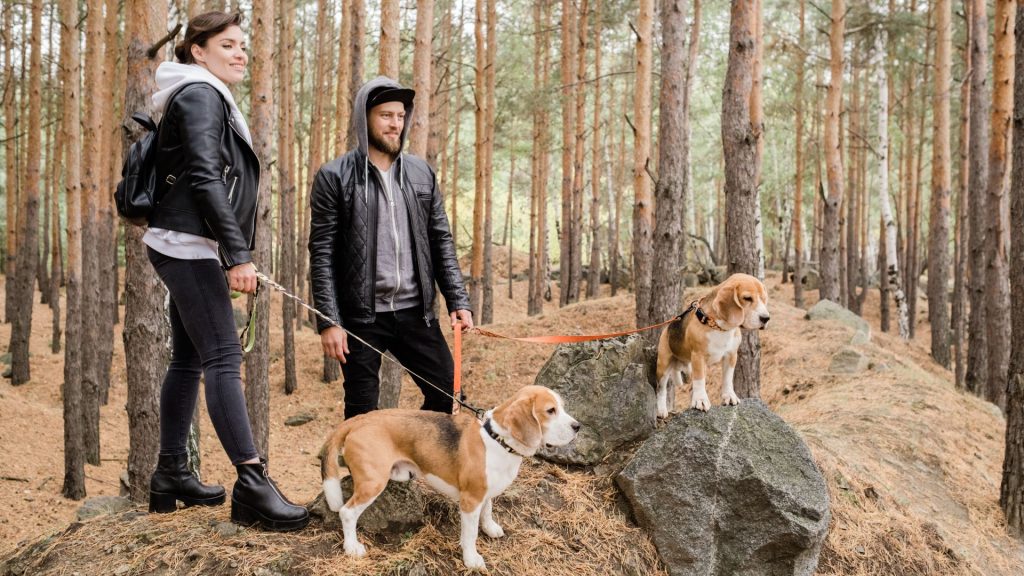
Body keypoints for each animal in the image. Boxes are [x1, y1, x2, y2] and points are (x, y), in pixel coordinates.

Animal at [319, 383, 577, 565]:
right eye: (550, 411)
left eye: (562, 407)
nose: (578, 427)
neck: (498, 439)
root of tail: (360, 419)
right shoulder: (470, 500)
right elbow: (470, 534)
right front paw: (471, 559)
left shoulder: (485, 493)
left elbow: (488, 511)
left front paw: (490, 528)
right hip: (373, 482)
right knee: (347, 513)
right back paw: (352, 547)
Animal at [655, 270, 770, 414]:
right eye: (747, 298)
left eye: (763, 298)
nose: (766, 318)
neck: (719, 328)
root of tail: (667, 328)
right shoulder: (698, 356)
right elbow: (699, 380)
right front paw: (700, 400)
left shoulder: (731, 356)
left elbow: (727, 378)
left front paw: (729, 396)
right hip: (663, 366)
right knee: (661, 389)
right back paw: (661, 410)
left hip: (689, 370)